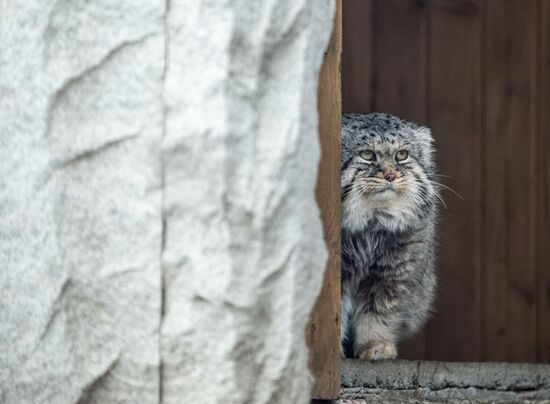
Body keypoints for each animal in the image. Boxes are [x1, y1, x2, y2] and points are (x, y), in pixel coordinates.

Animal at [340, 111, 440, 360]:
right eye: (367, 155)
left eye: (401, 155)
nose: (391, 175)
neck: (372, 223)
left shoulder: (394, 275)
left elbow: (378, 312)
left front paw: (375, 344)